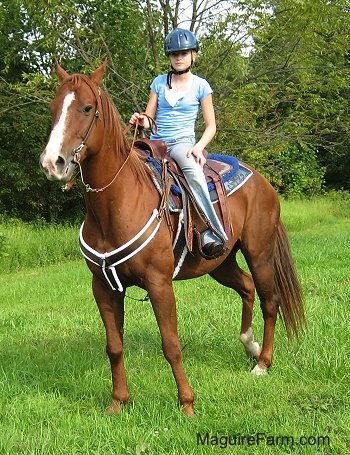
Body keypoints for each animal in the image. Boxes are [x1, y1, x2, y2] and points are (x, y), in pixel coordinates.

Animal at [39, 62, 304, 418]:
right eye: (53, 108)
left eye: (87, 108)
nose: (52, 163)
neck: (117, 203)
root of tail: (263, 182)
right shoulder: (103, 288)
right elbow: (114, 346)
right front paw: (118, 402)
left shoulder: (159, 283)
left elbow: (171, 344)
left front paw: (187, 403)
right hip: (220, 263)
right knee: (247, 288)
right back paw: (249, 344)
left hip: (259, 253)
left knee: (269, 301)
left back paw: (262, 363)